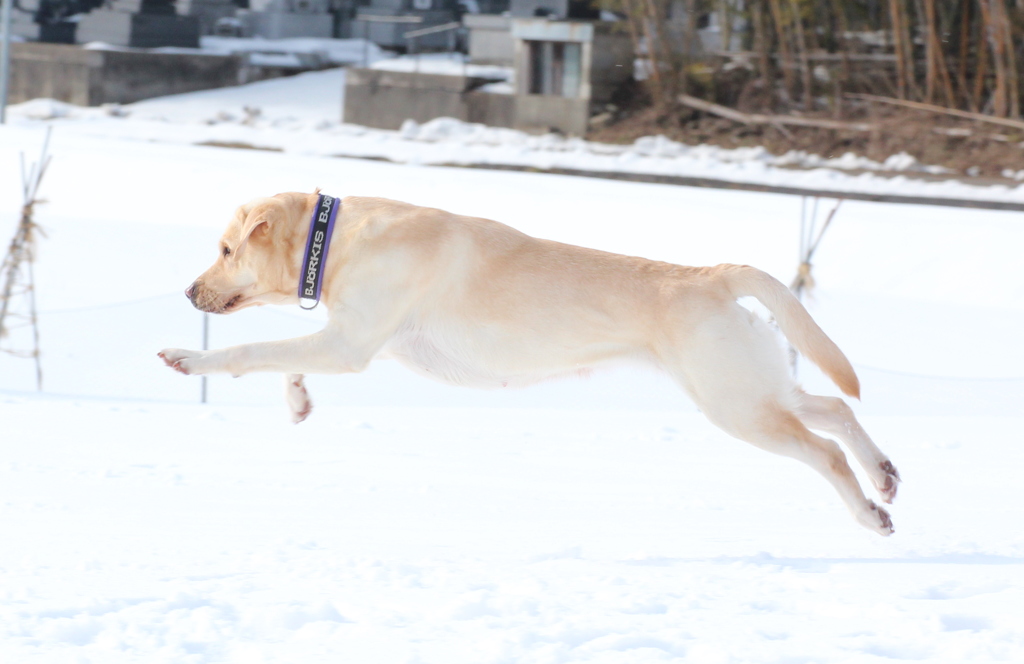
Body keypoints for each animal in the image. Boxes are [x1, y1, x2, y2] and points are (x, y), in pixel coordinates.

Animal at [155, 190, 901, 532]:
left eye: (225, 250)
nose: (188, 291)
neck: (334, 239)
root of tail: (714, 274)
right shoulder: (351, 339)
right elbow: (285, 360)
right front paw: (299, 401)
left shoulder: (350, 342)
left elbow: (251, 350)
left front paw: (187, 357)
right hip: (751, 386)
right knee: (834, 406)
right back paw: (885, 476)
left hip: (737, 406)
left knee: (823, 449)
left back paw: (871, 513)